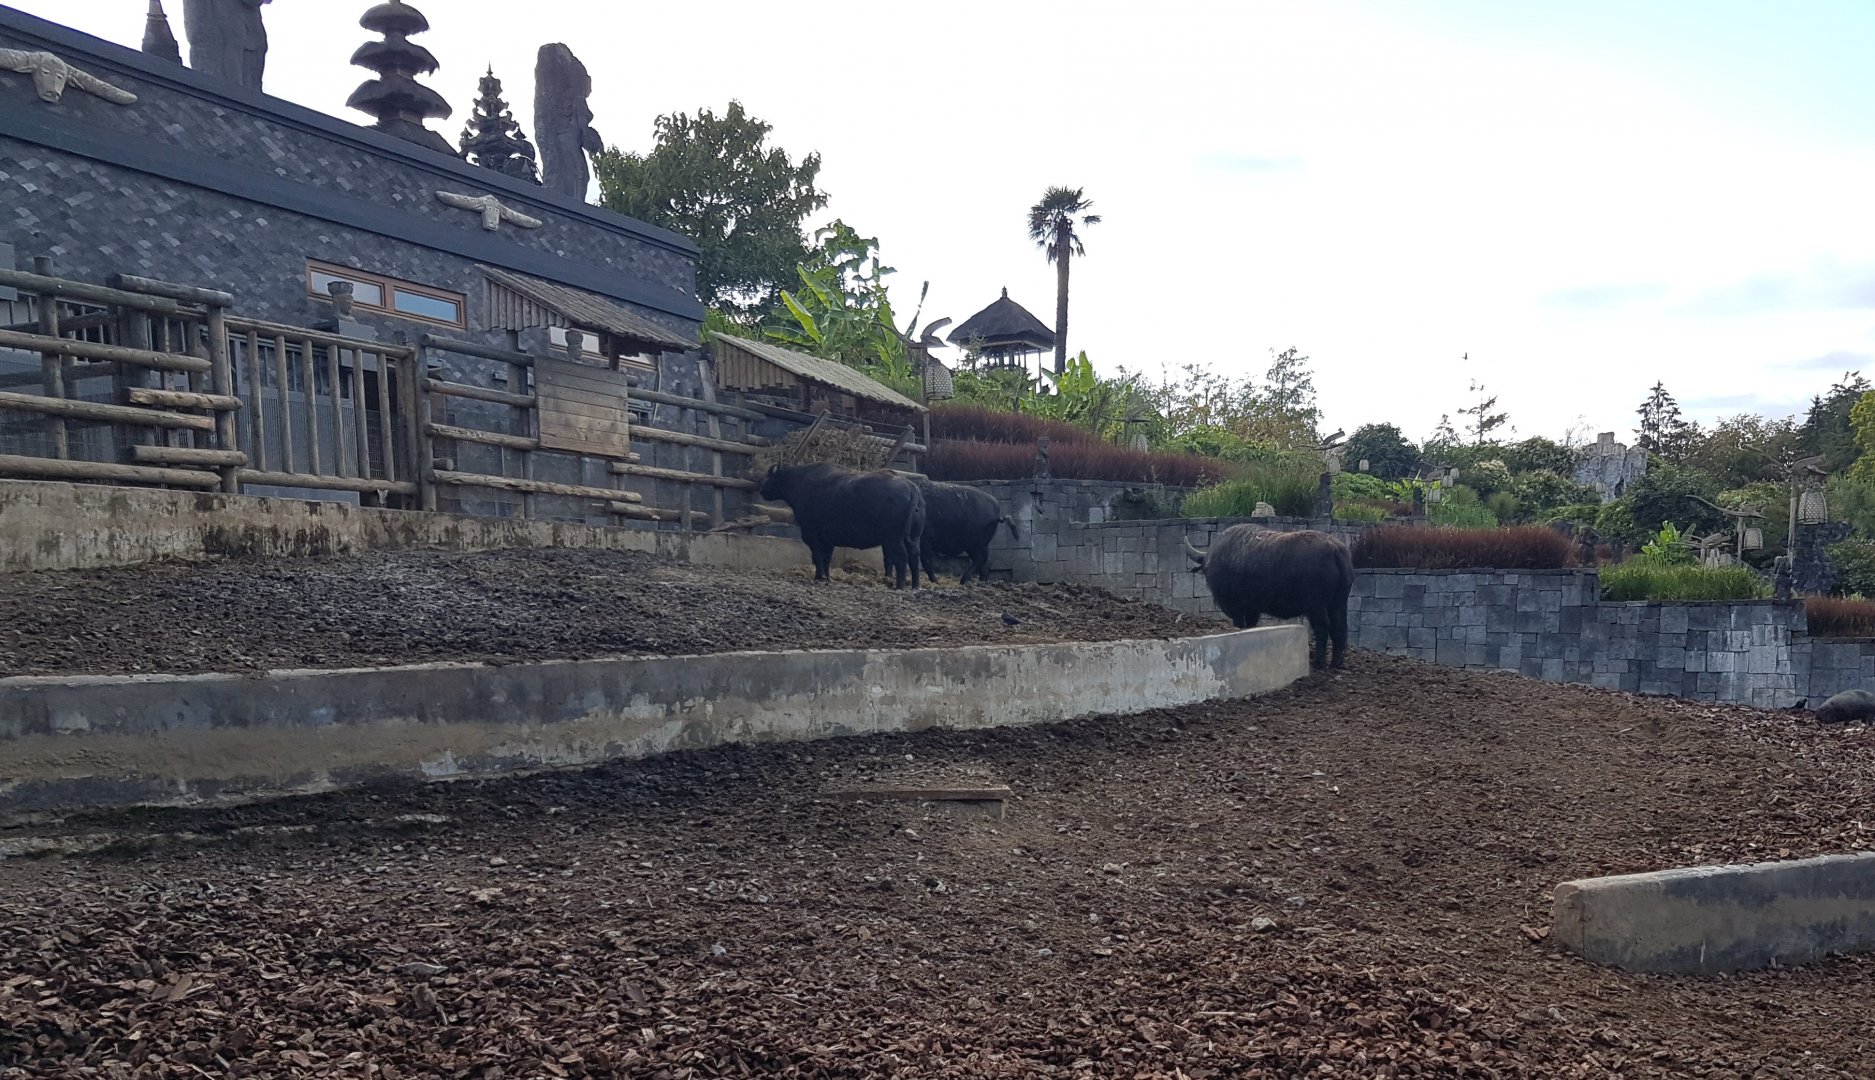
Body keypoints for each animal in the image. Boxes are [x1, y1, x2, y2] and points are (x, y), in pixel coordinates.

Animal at [760, 463, 925, 589]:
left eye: (770, 477)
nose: (761, 489)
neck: (802, 484)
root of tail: (910, 486)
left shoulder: (812, 534)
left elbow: (817, 555)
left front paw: (819, 576)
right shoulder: (828, 539)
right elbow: (827, 557)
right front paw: (826, 577)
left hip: (893, 539)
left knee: (902, 558)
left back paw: (900, 586)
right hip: (913, 537)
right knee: (914, 557)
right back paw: (915, 585)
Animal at [1184, 525, 1354, 669]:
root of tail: (1335, 549)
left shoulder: (1238, 608)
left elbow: (1240, 625)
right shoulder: (1252, 609)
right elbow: (1250, 626)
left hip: (1316, 606)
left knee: (1322, 628)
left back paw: (1319, 662)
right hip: (1338, 603)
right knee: (1339, 627)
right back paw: (1337, 662)